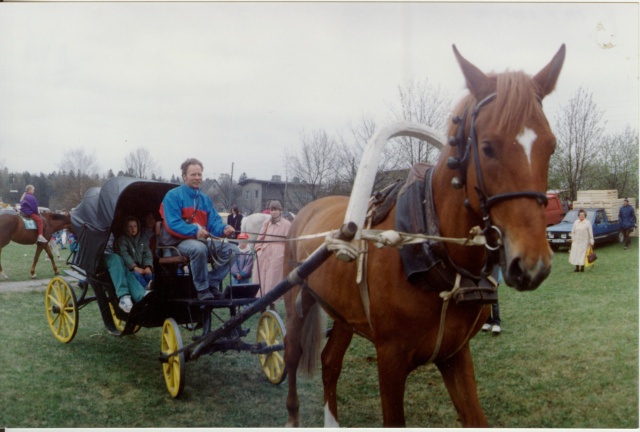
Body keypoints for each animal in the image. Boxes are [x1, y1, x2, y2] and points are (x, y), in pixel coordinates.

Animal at [284, 43, 564, 426]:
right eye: (487, 147)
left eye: (551, 145)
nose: (533, 264)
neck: (428, 248)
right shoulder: (390, 360)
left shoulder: (455, 354)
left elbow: (475, 416)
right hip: (296, 301)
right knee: (292, 356)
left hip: (344, 316)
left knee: (330, 362)